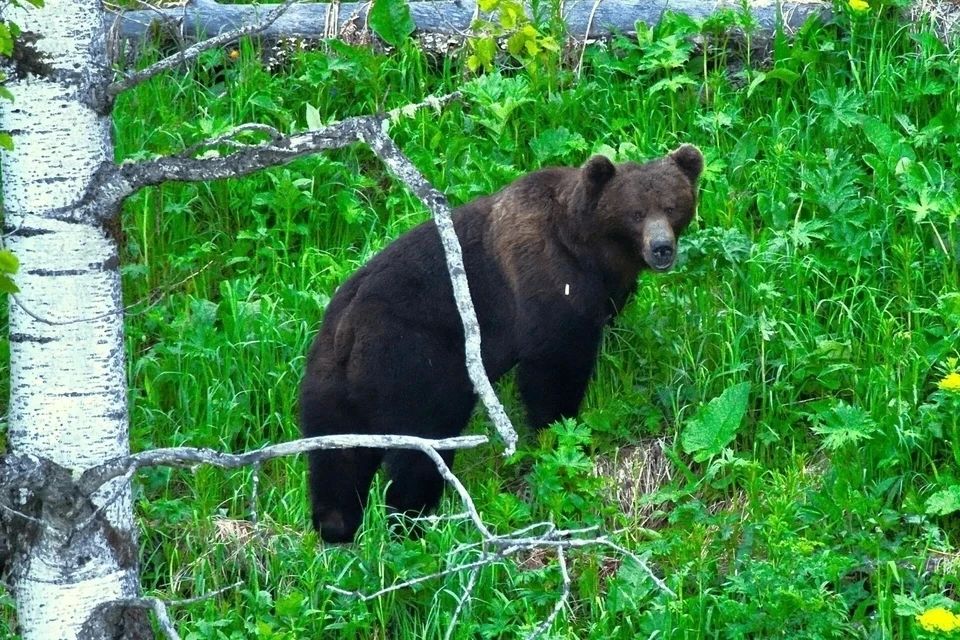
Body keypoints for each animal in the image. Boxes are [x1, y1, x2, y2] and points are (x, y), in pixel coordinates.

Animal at [299, 145, 704, 543]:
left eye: (672, 206)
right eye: (635, 213)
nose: (662, 248)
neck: (591, 251)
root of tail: (347, 331)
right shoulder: (547, 287)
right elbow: (554, 370)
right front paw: (561, 431)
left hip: (328, 384)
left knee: (337, 461)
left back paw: (337, 528)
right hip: (412, 366)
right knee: (422, 449)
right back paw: (414, 522)